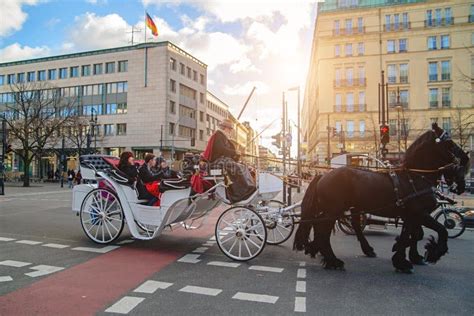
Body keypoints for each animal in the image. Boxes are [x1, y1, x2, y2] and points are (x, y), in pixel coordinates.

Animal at [294, 124, 468, 272]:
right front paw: (432, 253)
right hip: (333, 211)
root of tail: (323, 175)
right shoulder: (420, 214)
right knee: (323, 231)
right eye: (450, 144)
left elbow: (411, 234)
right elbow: (441, 230)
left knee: (329, 228)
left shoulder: (411, 216)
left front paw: (404, 258)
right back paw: (333, 260)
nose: (466, 159)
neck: (415, 176)